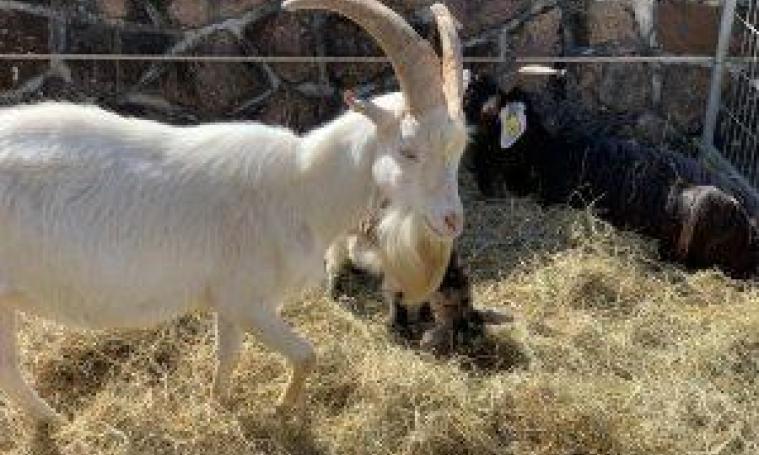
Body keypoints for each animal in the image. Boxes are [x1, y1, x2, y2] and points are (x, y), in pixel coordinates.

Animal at [0, 0, 469, 423]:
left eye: (459, 149)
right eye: (408, 150)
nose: (452, 221)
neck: (300, 191)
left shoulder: (227, 301)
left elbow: (228, 355)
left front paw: (219, 405)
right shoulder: (247, 300)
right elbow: (306, 355)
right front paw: (280, 411)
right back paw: (54, 421)